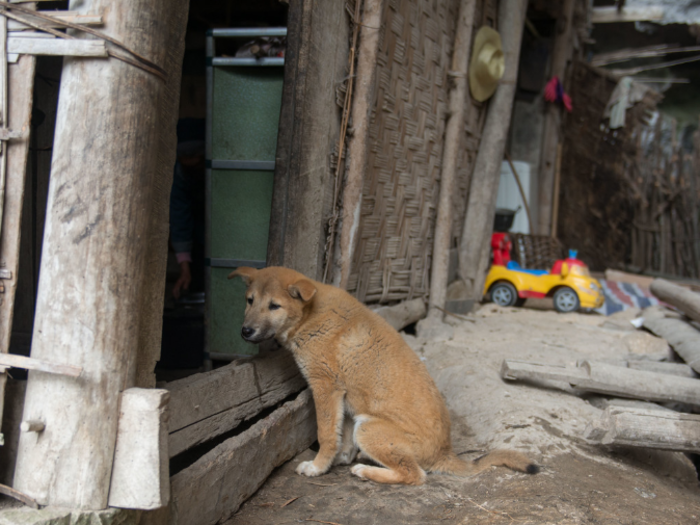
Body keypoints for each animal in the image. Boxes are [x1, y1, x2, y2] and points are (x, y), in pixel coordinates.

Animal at [230, 266, 536, 484]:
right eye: (249, 301)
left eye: (274, 306)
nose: (245, 331)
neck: (310, 315)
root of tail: (445, 453)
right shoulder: (344, 395)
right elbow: (341, 434)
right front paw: (340, 458)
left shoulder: (325, 387)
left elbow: (326, 434)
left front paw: (318, 467)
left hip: (370, 427)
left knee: (415, 475)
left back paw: (367, 472)